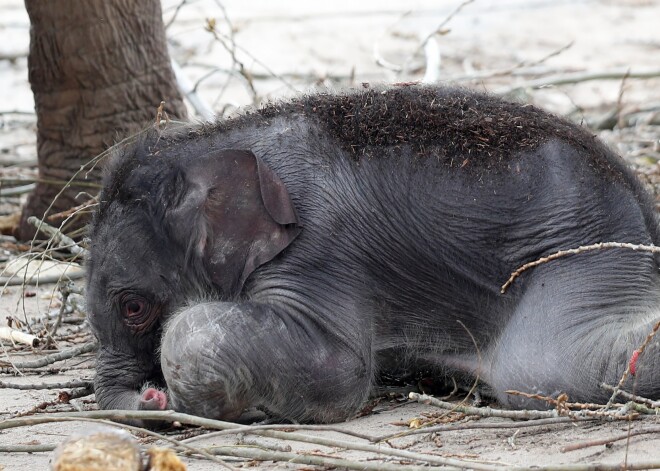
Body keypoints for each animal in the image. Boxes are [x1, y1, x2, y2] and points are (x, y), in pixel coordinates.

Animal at [86, 85, 660, 424]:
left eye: (133, 307)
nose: (152, 398)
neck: (213, 143)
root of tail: (642, 208)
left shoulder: (319, 244)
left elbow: (339, 368)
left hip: (579, 253)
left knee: (546, 367)